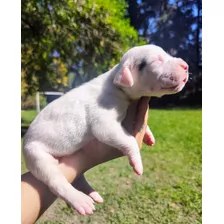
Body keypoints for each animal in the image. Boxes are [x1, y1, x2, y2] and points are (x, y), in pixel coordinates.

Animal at [22, 44, 188, 215]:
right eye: (157, 60)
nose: (186, 66)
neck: (117, 84)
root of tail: (26, 140)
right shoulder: (104, 124)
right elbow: (129, 140)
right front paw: (137, 164)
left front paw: (149, 135)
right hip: (37, 157)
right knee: (56, 181)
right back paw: (81, 201)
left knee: (77, 178)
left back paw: (93, 194)